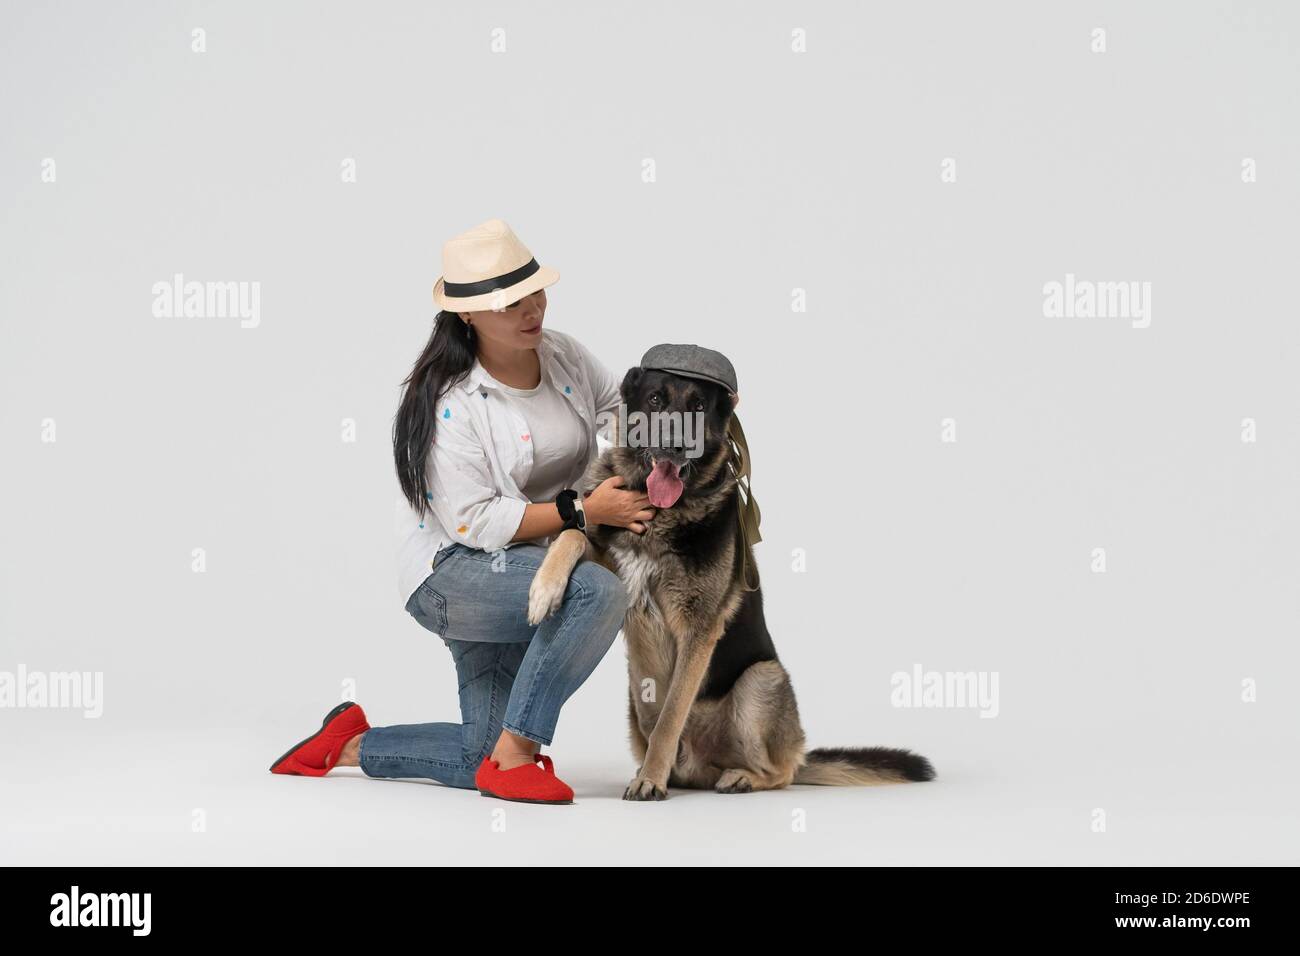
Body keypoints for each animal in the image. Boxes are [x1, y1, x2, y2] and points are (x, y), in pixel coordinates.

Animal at [527, 366, 935, 801]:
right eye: (655, 399)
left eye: (698, 406)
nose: (674, 446)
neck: (661, 512)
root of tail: (698, 767)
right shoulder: (614, 565)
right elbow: (573, 536)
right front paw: (543, 591)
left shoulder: (698, 631)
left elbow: (671, 716)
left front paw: (651, 779)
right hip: (635, 705)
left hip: (761, 679)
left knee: (780, 772)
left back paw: (739, 777)